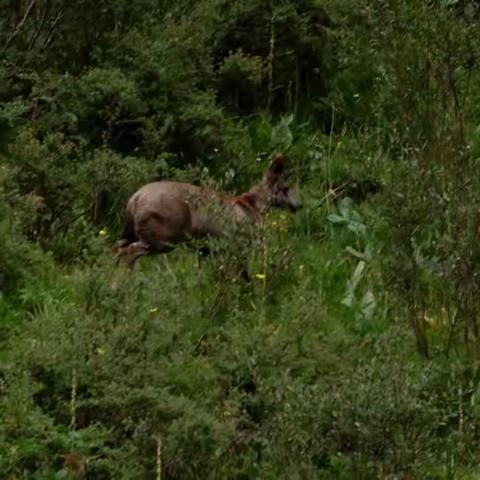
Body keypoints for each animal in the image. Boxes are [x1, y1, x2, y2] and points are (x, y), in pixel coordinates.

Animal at [113, 155, 300, 272]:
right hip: (163, 235)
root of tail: (134, 199)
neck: (255, 206)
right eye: (285, 188)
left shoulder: (206, 249)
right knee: (131, 251)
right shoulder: (239, 242)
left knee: (118, 246)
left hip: (131, 229)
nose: (299, 204)